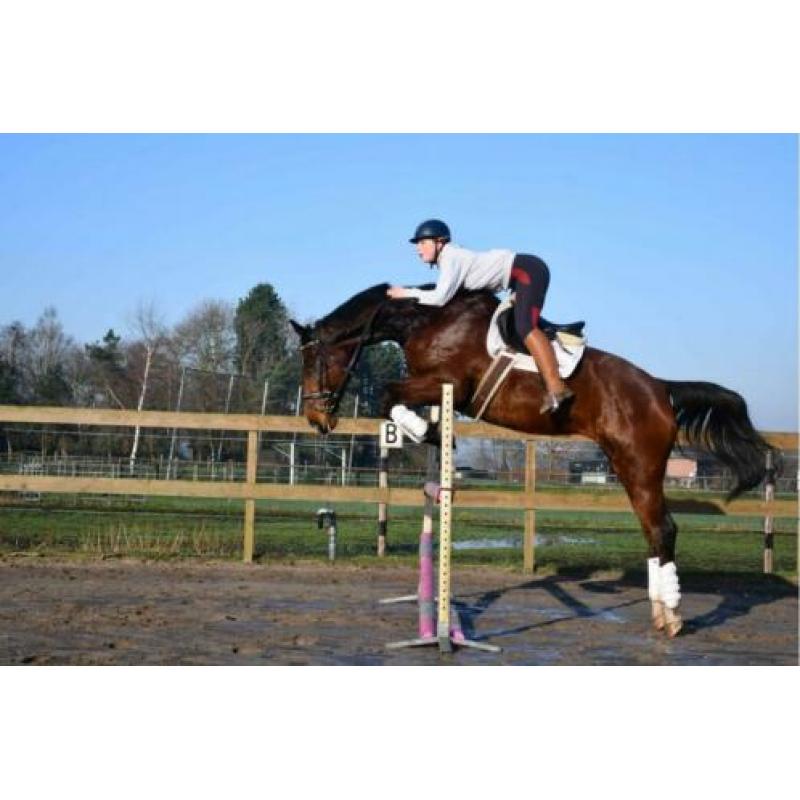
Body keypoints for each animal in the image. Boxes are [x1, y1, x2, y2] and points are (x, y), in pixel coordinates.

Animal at [290, 282, 776, 637]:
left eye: (313, 362)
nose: (316, 419)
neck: (427, 317)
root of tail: (661, 388)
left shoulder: (449, 385)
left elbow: (387, 396)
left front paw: (428, 432)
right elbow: (392, 399)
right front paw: (429, 433)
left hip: (640, 465)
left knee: (663, 530)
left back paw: (673, 617)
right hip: (627, 466)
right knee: (654, 531)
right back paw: (661, 613)